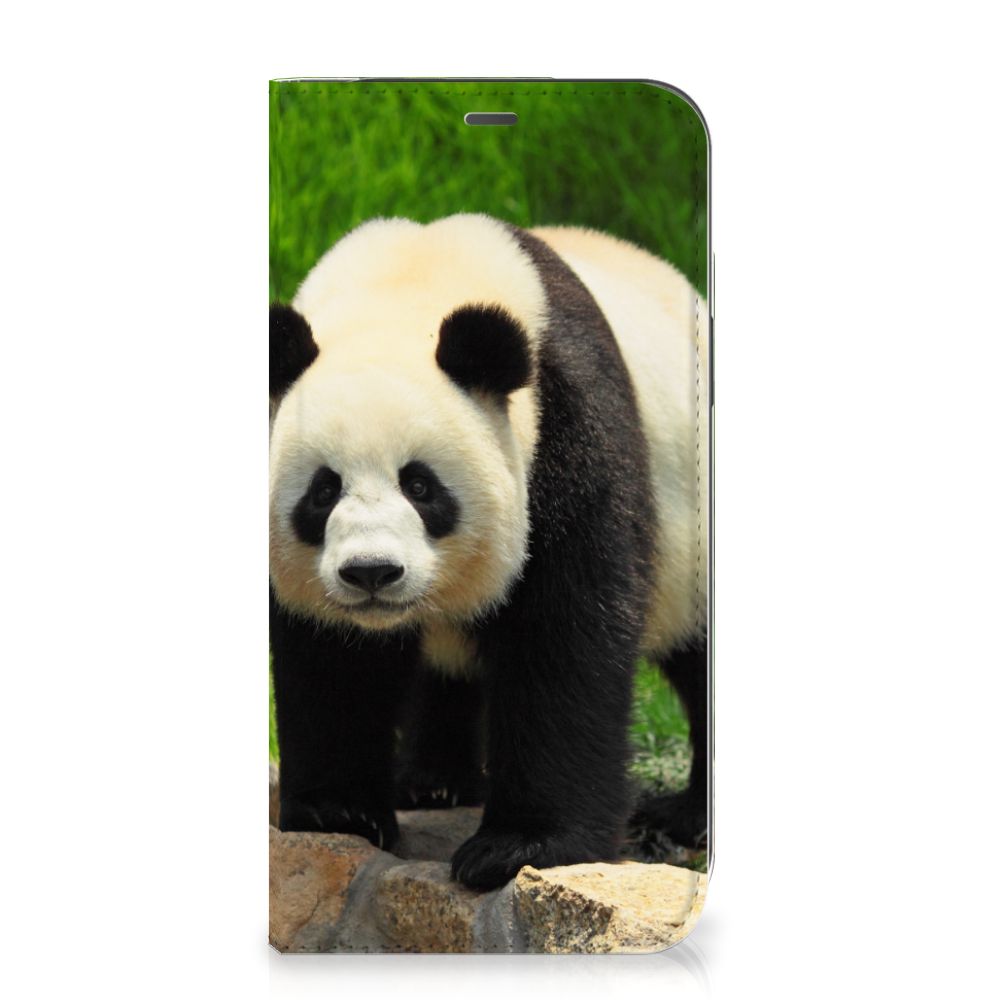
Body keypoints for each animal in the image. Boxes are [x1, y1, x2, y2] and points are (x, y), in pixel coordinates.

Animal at [269, 213, 709, 891]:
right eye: (323, 491)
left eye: (420, 486)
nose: (372, 573)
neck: (407, 285)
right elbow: (330, 658)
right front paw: (336, 812)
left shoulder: (566, 429)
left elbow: (563, 636)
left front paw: (521, 846)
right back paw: (433, 782)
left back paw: (687, 817)